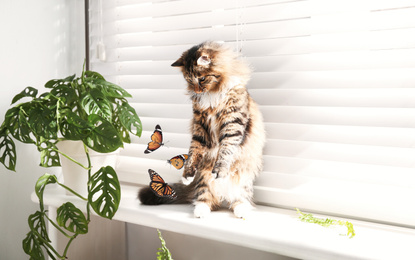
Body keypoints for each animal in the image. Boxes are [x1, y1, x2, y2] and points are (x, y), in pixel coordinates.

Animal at [138, 41, 264, 218]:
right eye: (189, 80)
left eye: (202, 78)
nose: (197, 90)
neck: (212, 95)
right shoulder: (200, 128)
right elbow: (193, 152)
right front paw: (187, 175)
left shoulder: (233, 123)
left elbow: (225, 151)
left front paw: (220, 170)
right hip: (204, 177)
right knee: (204, 197)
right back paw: (201, 210)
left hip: (243, 180)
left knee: (239, 199)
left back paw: (241, 210)